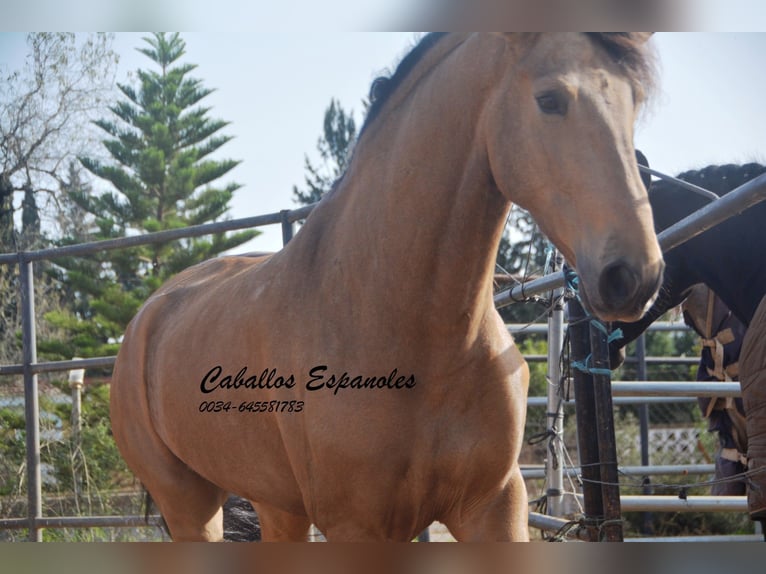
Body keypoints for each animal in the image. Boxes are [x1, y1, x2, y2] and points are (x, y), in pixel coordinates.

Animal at [109, 33, 664, 544]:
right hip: (189, 502)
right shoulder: (359, 526)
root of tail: (145, 321)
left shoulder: (494, 506)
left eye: (634, 100)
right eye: (549, 99)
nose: (632, 275)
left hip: (276, 503)